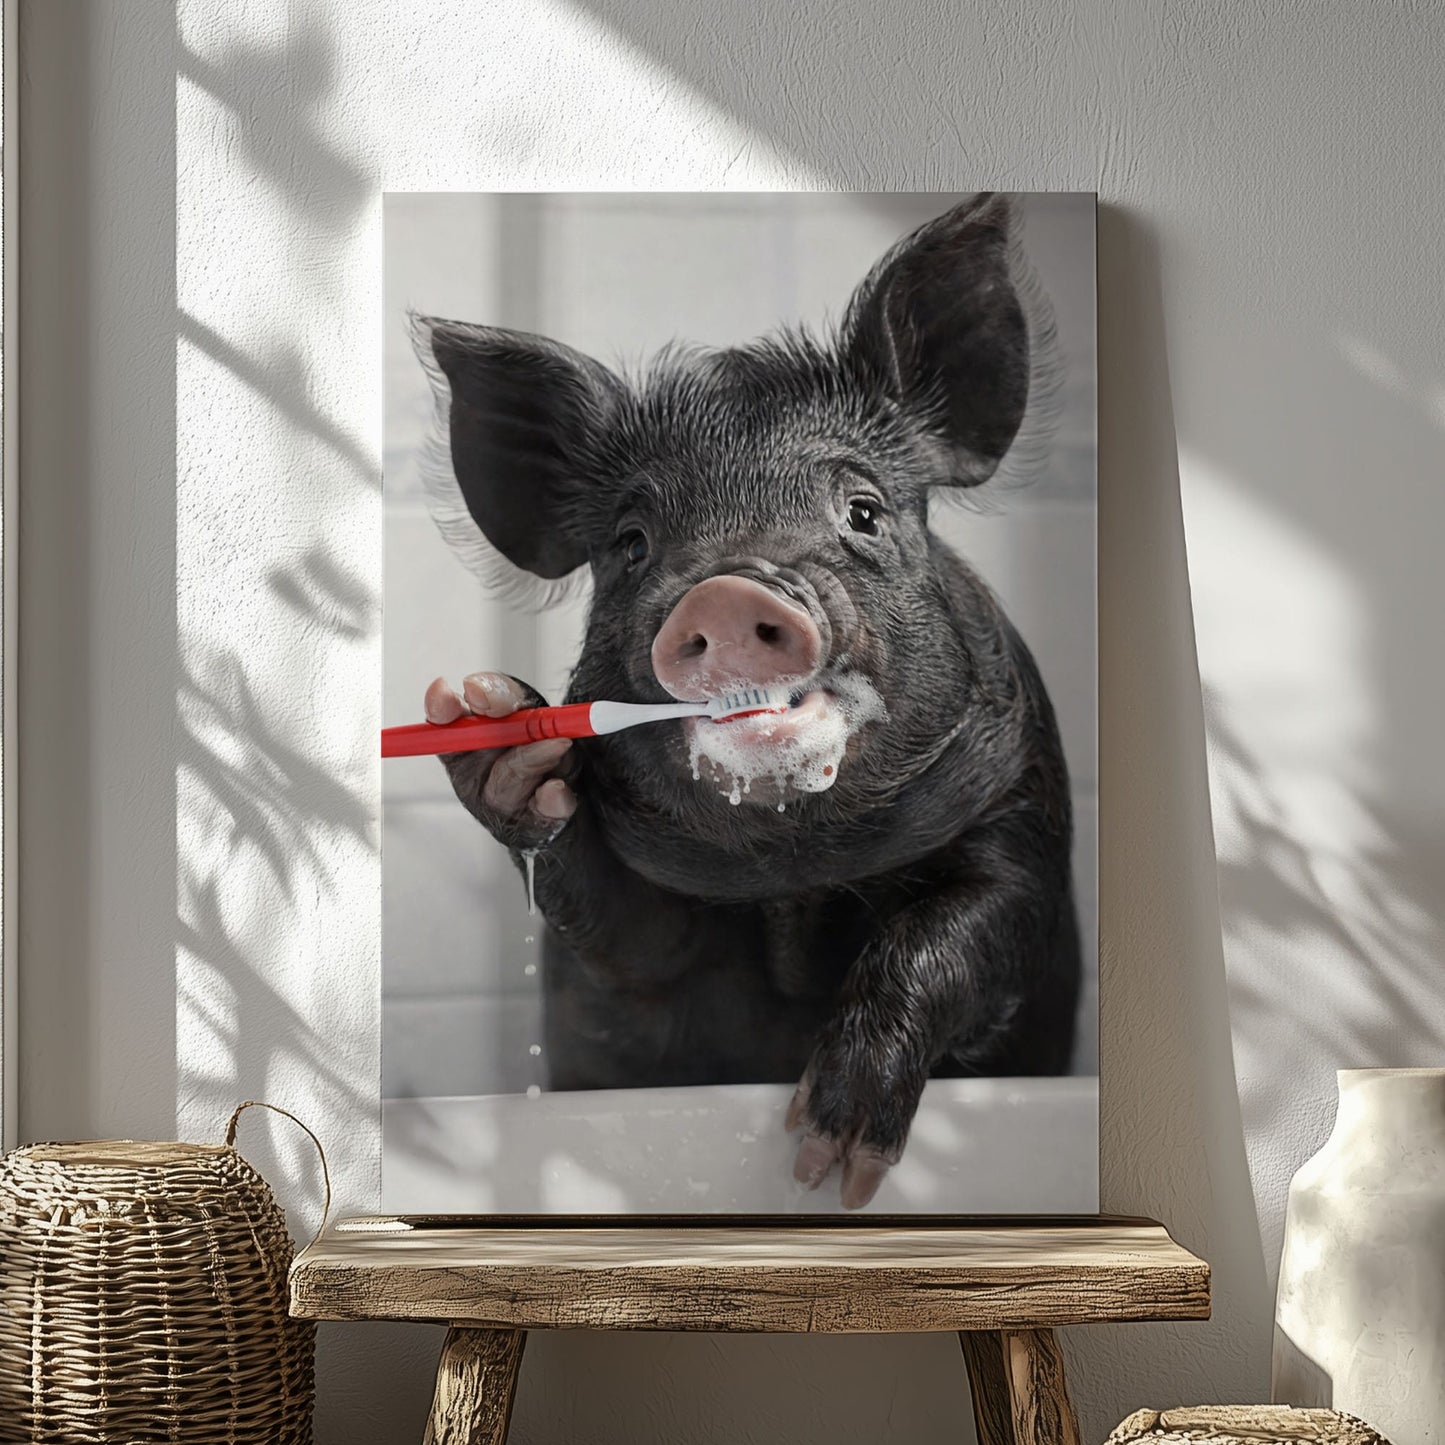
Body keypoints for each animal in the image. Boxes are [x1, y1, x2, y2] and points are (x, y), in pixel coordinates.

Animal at [414, 193, 1081, 1208]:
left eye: (863, 510)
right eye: (631, 543)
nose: (726, 592)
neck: (791, 876)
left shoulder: (1021, 810)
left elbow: (961, 926)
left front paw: (827, 1164)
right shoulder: (632, 950)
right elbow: (618, 928)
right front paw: (490, 718)